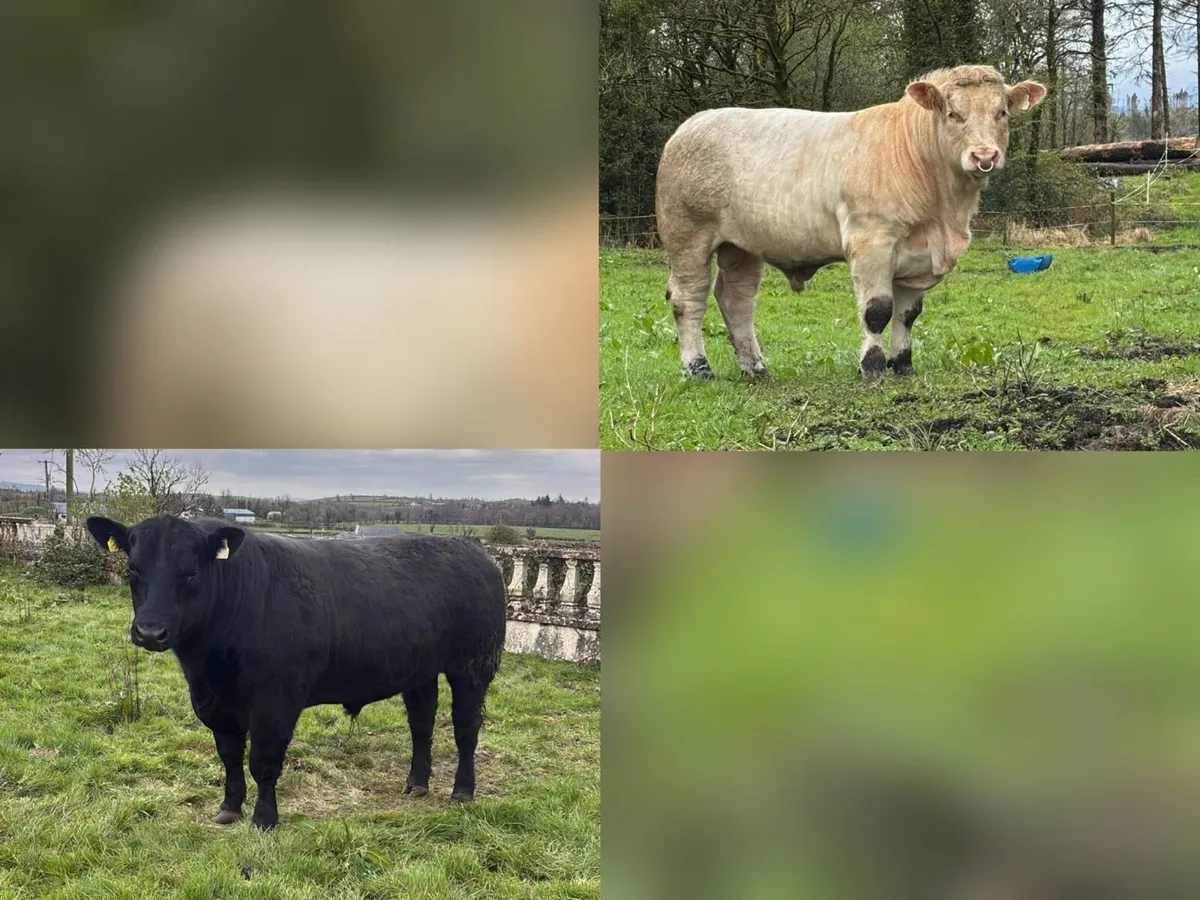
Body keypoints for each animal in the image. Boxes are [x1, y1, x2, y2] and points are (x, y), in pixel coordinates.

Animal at [85, 514, 507, 830]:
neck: (208, 661)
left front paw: (264, 819)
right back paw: (417, 784)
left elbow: (263, 761)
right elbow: (229, 755)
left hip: (473, 666)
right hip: (420, 670)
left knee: (465, 729)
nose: (150, 632)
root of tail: (475, 550)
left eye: (190, 573)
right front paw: (228, 809)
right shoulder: (215, 702)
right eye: (133, 570)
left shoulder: (275, 700)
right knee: (422, 724)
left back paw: (462, 791)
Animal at [655, 64, 1046, 382]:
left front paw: (903, 366)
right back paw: (698, 368)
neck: (943, 213)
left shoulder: (918, 254)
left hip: (742, 246)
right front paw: (872, 368)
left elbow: (908, 314)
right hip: (687, 235)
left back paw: (756, 368)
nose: (984, 156)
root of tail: (692, 123)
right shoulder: (872, 242)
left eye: (1002, 113)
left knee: (736, 300)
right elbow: (877, 311)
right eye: (953, 113)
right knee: (688, 298)